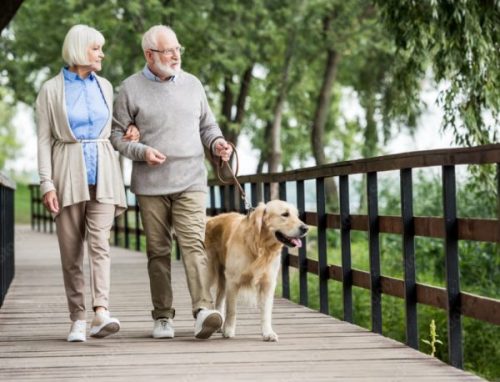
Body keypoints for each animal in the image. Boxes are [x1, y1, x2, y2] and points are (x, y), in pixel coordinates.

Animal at [204, 200, 306, 340]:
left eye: (297, 215)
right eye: (285, 214)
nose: (305, 228)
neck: (260, 247)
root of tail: (211, 219)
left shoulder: (268, 283)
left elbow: (266, 311)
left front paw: (268, 333)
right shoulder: (233, 281)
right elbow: (232, 310)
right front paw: (229, 330)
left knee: (220, 297)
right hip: (210, 271)